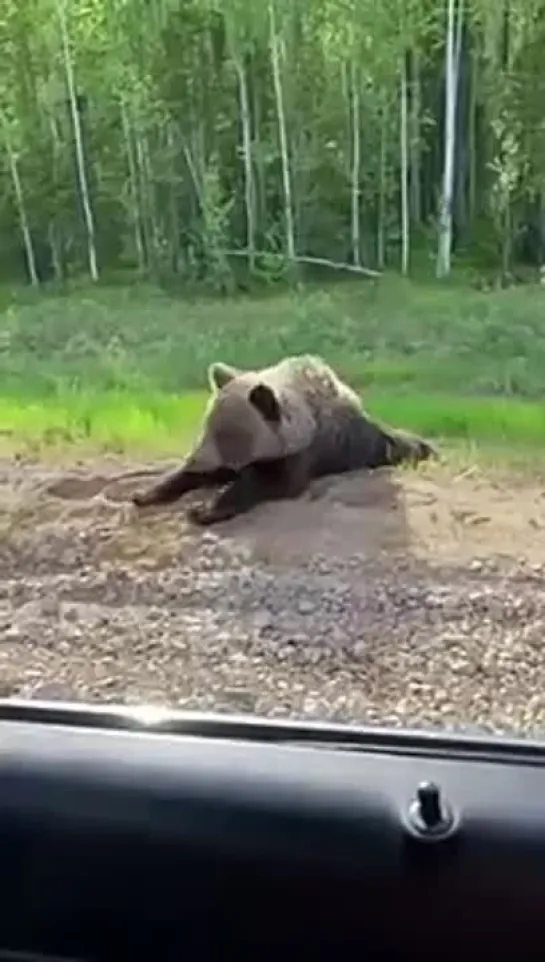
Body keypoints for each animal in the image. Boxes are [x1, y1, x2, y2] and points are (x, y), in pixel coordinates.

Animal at [133, 354, 438, 524]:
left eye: (229, 433)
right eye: (207, 425)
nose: (196, 459)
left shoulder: (305, 451)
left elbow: (270, 481)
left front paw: (204, 509)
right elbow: (192, 476)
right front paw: (147, 493)